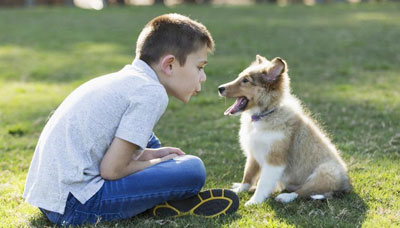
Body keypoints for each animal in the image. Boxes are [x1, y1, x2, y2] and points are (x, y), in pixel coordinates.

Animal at [219, 55, 350, 207]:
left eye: (246, 81)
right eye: (240, 77)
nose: (220, 88)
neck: (265, 114)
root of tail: (346, 187)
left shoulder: (275, 159)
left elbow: (263, 182)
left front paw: (254, 202)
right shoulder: (253, 154)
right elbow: (248, 175)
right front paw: (239, 190)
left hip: (326, 172)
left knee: (304, 191)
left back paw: (285, 197)